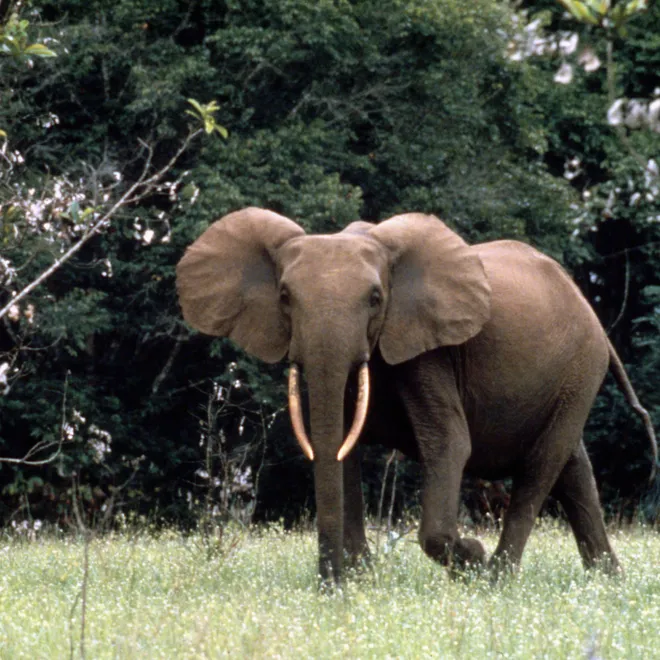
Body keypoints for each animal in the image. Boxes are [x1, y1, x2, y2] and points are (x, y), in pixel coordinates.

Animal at [176, 207, 657, 583]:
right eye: (284, 297)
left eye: (375, 298)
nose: (328, 586)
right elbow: (340, 444)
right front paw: (360, 578)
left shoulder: (429, 351)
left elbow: (449, 443)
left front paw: (470, 557)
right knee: (574, 468)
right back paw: (608, 581)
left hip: (581, 367)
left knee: (542, 466)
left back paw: (496, 579)